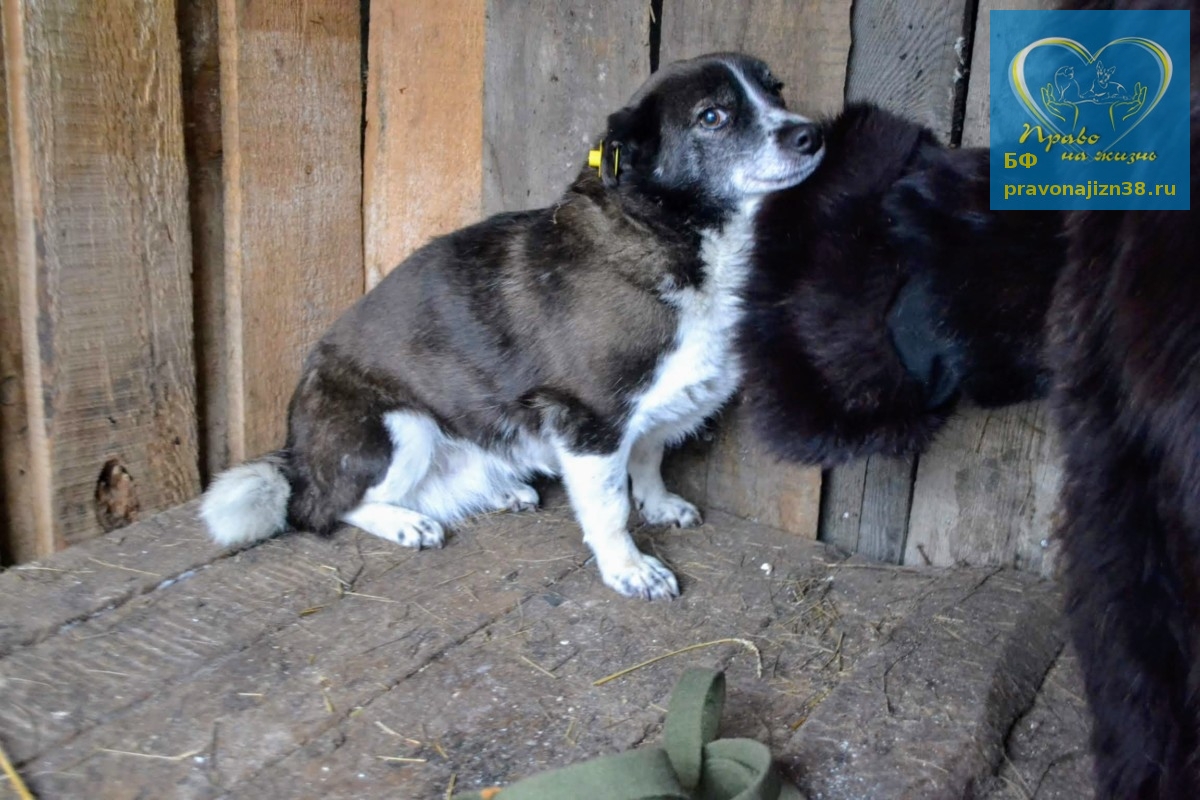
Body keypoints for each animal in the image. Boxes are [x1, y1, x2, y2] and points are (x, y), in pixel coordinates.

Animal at [204, 54, 825, 599]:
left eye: (776, 91)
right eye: (712, 116)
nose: (813, 134)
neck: (669, 233)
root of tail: (297, 454)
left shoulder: (649, 409)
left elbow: (648, 462)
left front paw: (659, 504)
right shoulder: (590, 421)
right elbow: (611, 507)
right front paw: (629, 570)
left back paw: (496, 493)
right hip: (401, 426)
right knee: (322, 508)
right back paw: (405, 523)